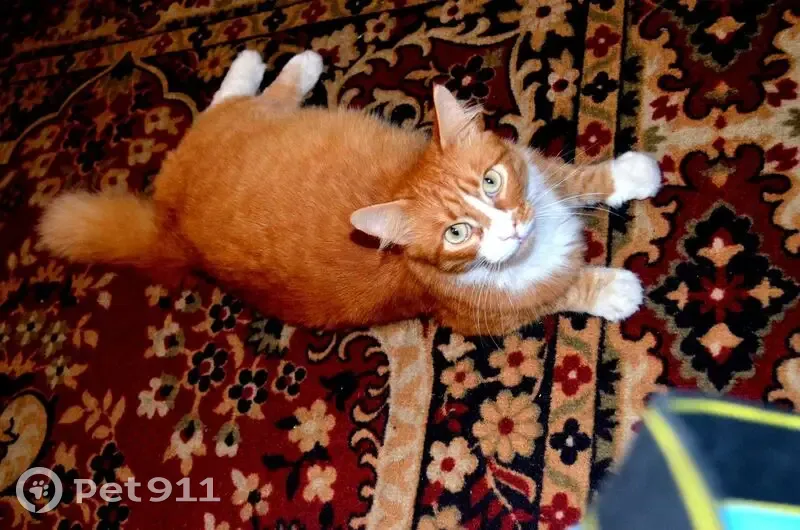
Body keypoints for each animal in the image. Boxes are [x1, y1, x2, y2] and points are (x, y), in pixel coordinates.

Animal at [38, 49, 662, 336]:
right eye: (458, 233)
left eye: (491, 182)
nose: (511, 229)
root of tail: (175, 229)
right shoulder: (482, 318)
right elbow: (563, 292)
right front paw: (613, 289)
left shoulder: (536, 175)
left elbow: (576, 176)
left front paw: (633, 175)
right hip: (247, 124)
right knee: (232, 101)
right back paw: (282, 62)